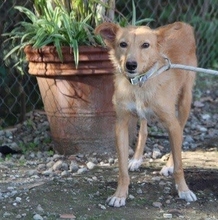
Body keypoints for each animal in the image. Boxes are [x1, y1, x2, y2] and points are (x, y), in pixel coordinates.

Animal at [94, 21, 197, 207]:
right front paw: (120, 194)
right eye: (123, 44)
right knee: (143, 130)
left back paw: (168, 165)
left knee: (180, 134)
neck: (140, 82)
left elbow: (179, 165)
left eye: (146, 45)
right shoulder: (121, 125)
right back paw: (136, 159)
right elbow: (122, 169)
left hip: (185, 101)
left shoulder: (172, 124)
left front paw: (184, 190)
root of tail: (183, 24)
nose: (131, 65)